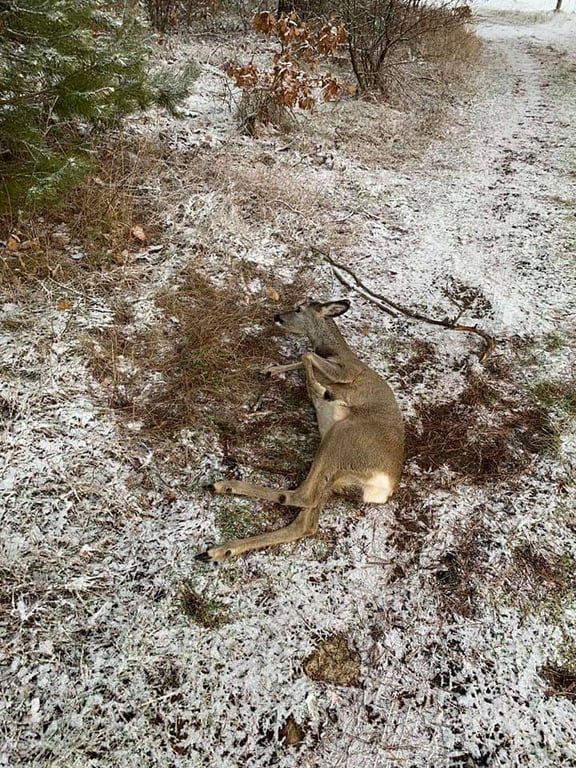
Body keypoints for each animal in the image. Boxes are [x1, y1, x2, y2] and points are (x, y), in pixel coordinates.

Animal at [198, 300, 404, 564]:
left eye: (299, 308)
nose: (277, 316)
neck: (332, 349)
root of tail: (385, 488)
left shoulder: (347, 370)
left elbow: (305, 355)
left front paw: (322, 390)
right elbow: (302, 358)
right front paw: (270, 369)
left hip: (343, 435)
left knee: (304, 497)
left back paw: (223, 491)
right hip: (336, 474)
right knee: (306, 523)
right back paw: (220, 548)